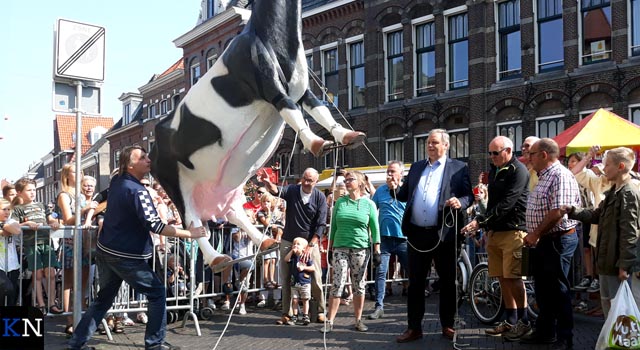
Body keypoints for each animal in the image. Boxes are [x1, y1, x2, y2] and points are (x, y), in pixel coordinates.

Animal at [147, 0, 362, 270]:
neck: (274, 39)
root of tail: (151, 151)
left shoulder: (302, 89)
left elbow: (320, 110)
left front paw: (347, 135)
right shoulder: (269, 85)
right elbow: (291, 110)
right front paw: (315, 141)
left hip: (222, 186)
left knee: (233, 211)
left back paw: (266, 241)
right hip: (175, 181)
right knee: (192, 222)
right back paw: (217, 258)